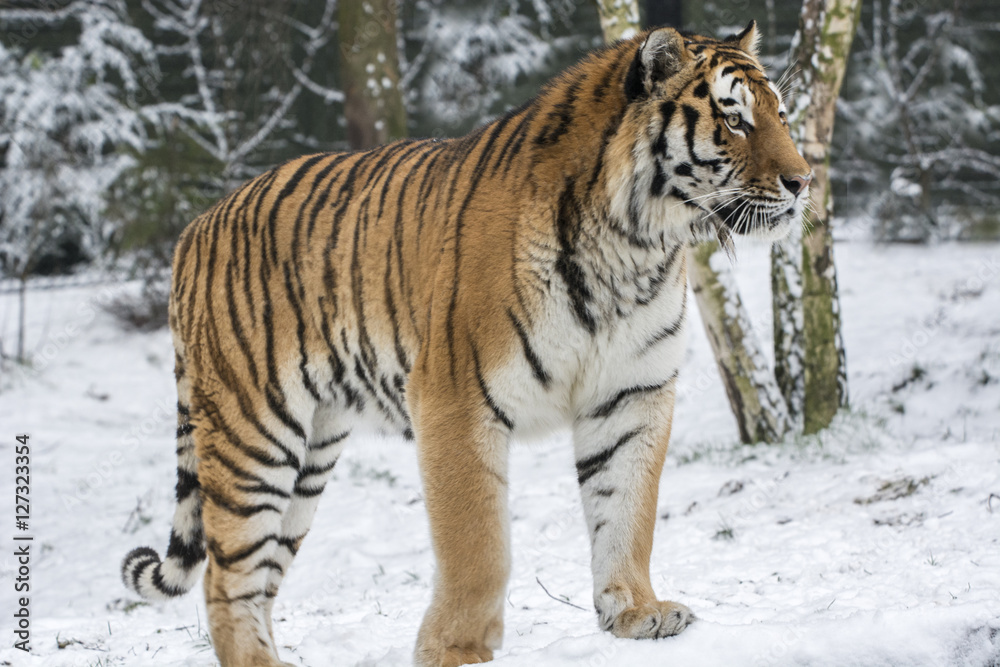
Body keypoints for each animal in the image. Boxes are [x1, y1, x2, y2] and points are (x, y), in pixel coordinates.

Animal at [121, 20, 810, 667]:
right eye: (734, 118)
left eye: (779, 113)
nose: (804, 182)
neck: (636, 244)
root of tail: (195, 228)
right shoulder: (456, 397)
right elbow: (477, 543)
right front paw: (457, 650)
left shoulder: (632, 392)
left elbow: (628, 513)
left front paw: (637, 613)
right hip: (255, 432)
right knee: (224, 577)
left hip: (311, 453)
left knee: (258, 572)